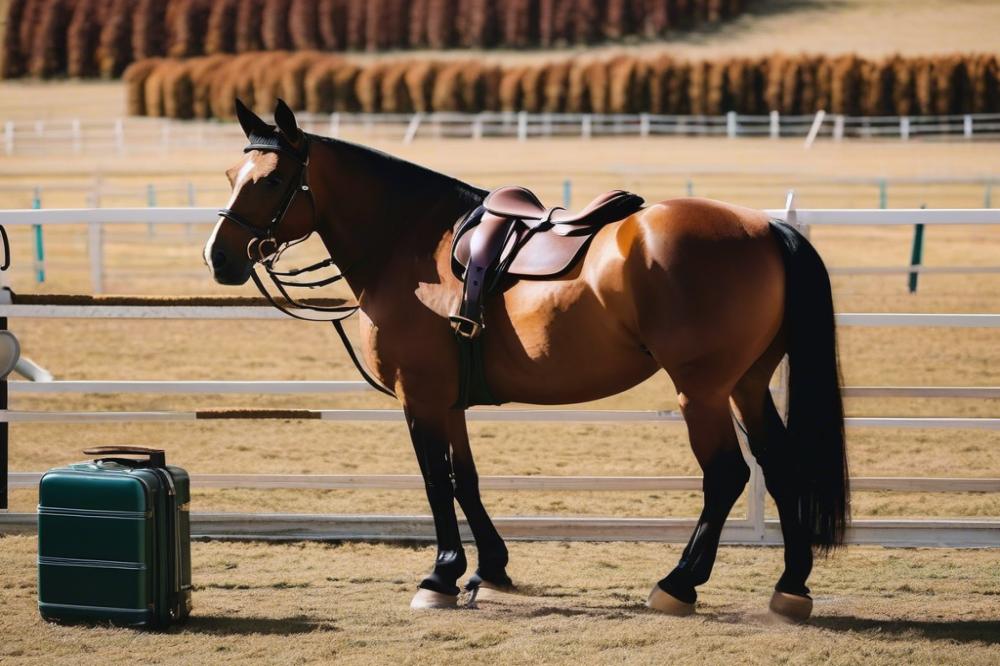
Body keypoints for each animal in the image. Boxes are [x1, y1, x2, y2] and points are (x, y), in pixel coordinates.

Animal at [207, 100, 848, 624]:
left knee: (726, 475)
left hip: (703, 392)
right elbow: (465, 479)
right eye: (231, 176)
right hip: (746, 385)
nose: (219, 258)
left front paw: (439, 575)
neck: (412, 246)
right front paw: (489, 568)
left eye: (270, 180)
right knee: (780, 467)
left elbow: (435, 481)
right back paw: (791, 588)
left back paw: (678, 584)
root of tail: (765, 226)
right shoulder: (450, 401)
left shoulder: (420, 397)